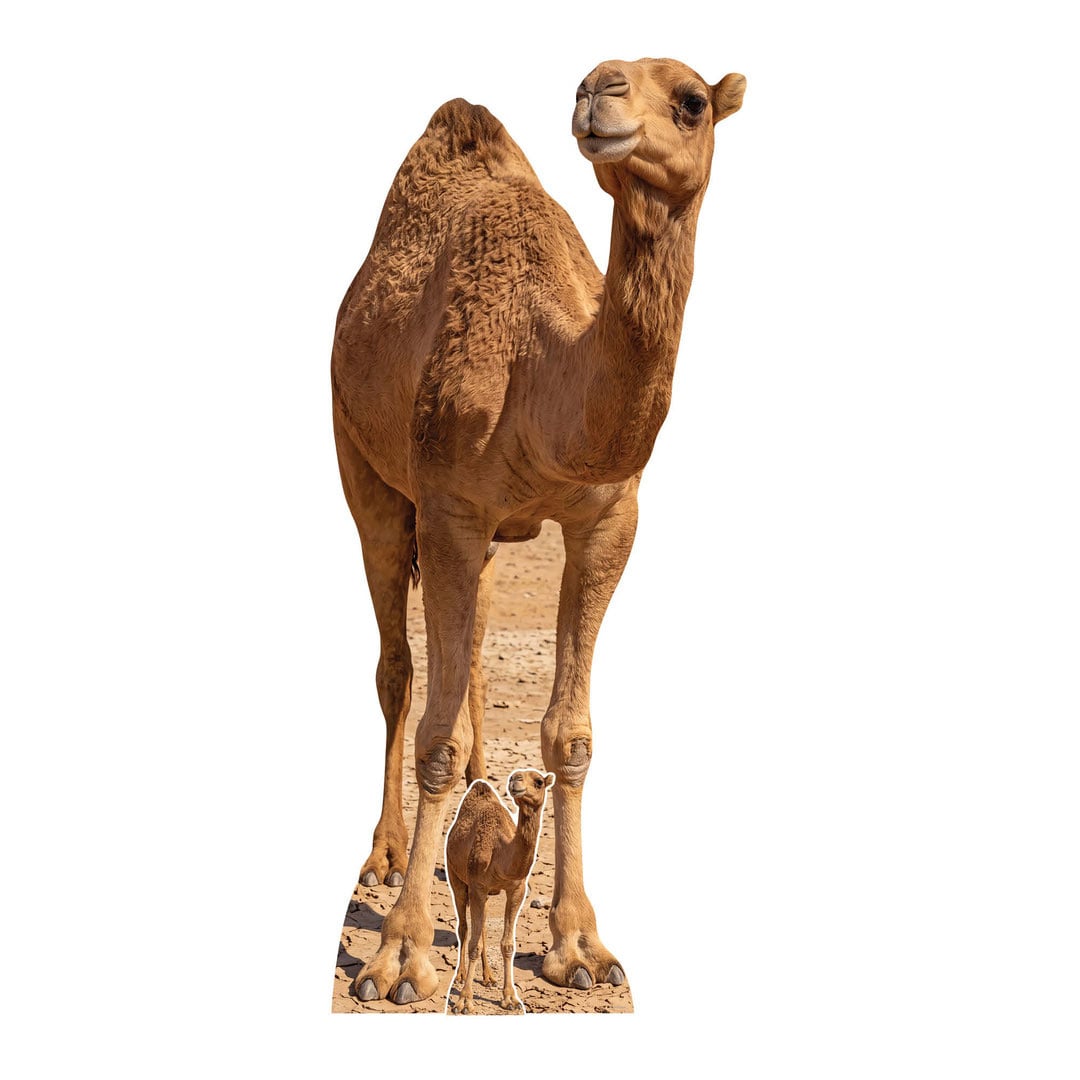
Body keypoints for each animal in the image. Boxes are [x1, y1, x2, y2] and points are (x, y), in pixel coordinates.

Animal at [445, 770, 554, 1014]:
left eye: (539, 782)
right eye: (517, 776)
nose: (515, 780)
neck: (501, 853)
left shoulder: (517, 889)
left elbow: (507, 944)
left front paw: (510, 998)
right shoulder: (477, 886)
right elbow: (473, 944)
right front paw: (464, 1001)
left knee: (482, 928)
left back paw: (488, 977)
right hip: (456, 876)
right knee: (464, 928)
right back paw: (460, 975)